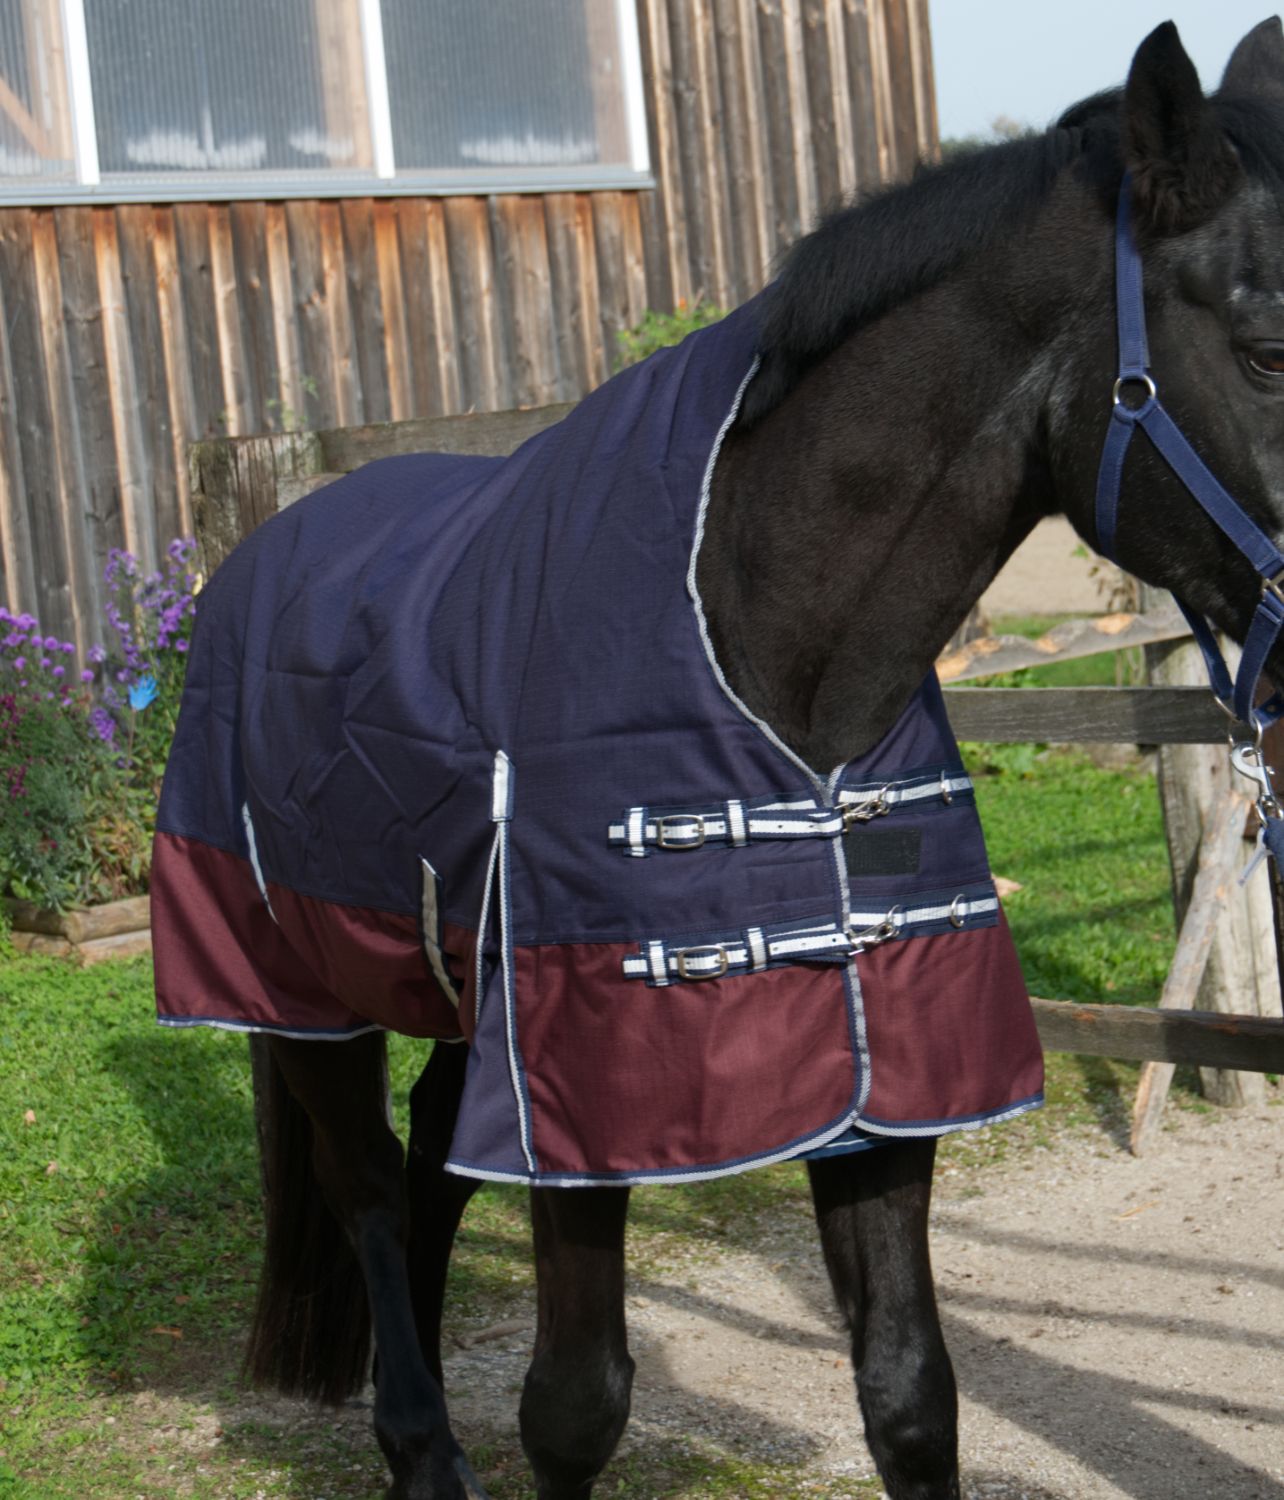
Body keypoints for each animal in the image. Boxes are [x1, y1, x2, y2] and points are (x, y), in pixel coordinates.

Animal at [150, 19, 1284, 1500]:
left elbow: (910, 1393)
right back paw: (416, 1445)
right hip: (303, 994)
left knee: (430, 1170)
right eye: (1266, 348)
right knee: (368, 1193)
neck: (770, 654)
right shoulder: (587, 1095)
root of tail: (256, 550)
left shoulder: (880, 1084)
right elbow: (576, 1405)